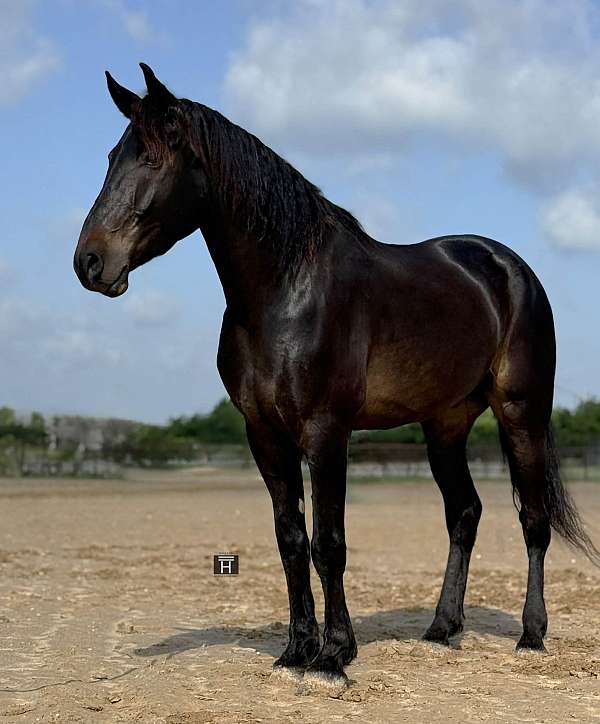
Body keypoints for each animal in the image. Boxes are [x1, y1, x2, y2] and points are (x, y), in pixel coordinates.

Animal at [73, 63, 598, 688]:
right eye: (111, 157)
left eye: (153, 159)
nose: (89, 262)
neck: (285, 293)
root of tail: (511, 268)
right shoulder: (264, 434)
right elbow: (291, 539)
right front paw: (296, 650)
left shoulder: (325, 431)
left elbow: (329, 543)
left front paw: (334, 656)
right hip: (445, 424)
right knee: (464, 513)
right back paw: (441, 629)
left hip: (522, 412)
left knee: (534, 520)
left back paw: (530, 636)